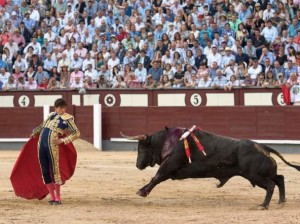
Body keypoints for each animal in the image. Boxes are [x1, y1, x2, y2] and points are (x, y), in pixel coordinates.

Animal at [120, 127, 300, 209]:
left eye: (141, 148)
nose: (137, 165)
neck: (166, 142)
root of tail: (262, 146)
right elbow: (157, 177)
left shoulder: (169, 165)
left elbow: (156, 177)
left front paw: (142, 191)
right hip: (261, 173)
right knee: (280, 179)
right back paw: (281, 201)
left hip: (254, 175)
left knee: (271, 184)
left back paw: (263, 205)